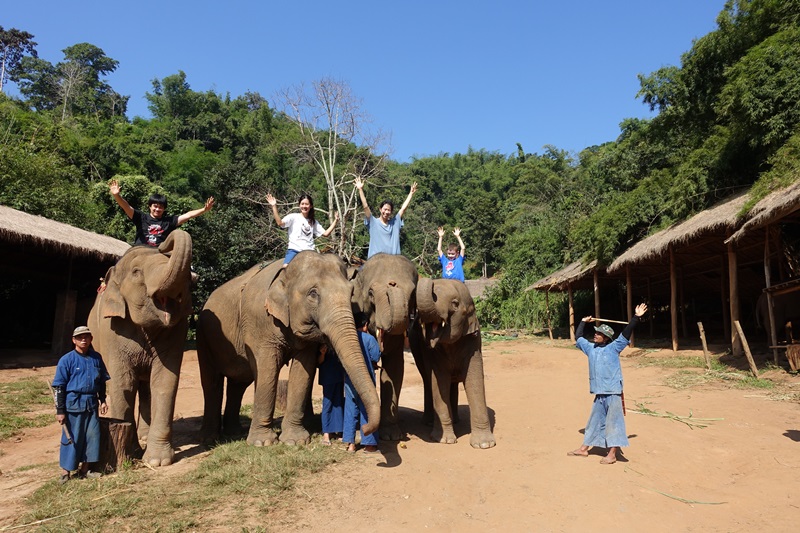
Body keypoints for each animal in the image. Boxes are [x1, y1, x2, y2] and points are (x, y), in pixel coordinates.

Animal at [88, 229, 194, 466]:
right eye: (136, 272)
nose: (163, 244)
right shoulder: (112, 330)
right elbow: (123, 382)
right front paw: (132, 453)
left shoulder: (177, 331)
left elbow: (165, 382)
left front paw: (157, 461)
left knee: (146, 390)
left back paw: (145, 438)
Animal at [195, 249, 380, 444]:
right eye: (313, 294)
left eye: (351, 292)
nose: (364, 429)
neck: (284, 274)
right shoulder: (258, 322)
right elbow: (267, 369)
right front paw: (263, 443)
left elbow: (303, 371)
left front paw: (295, 441)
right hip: (203, 335)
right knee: (211, 383)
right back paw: (208, 438)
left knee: (238, 383)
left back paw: (234, 433)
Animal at [410, 276, 496, 446]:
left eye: (455, 303)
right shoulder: (432, 352)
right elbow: (439, 381)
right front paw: (445, 440)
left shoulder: (473, 341)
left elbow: (474, 379)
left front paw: (484, 444)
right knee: (427, 380)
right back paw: (429, 422)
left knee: (452, 383)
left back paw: (455, 420)